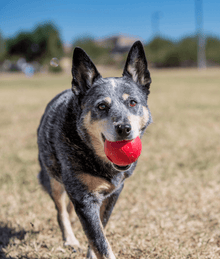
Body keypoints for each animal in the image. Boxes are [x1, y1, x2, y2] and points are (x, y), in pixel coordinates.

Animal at [37, 41, 151, 259]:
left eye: (132, 102)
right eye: (101, 106)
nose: (124, 128)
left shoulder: (114, 193)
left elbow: (100, 229)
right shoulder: (84, 199)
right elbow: (100, 241)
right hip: (53, 178)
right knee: (60, 210)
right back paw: (70, 239)